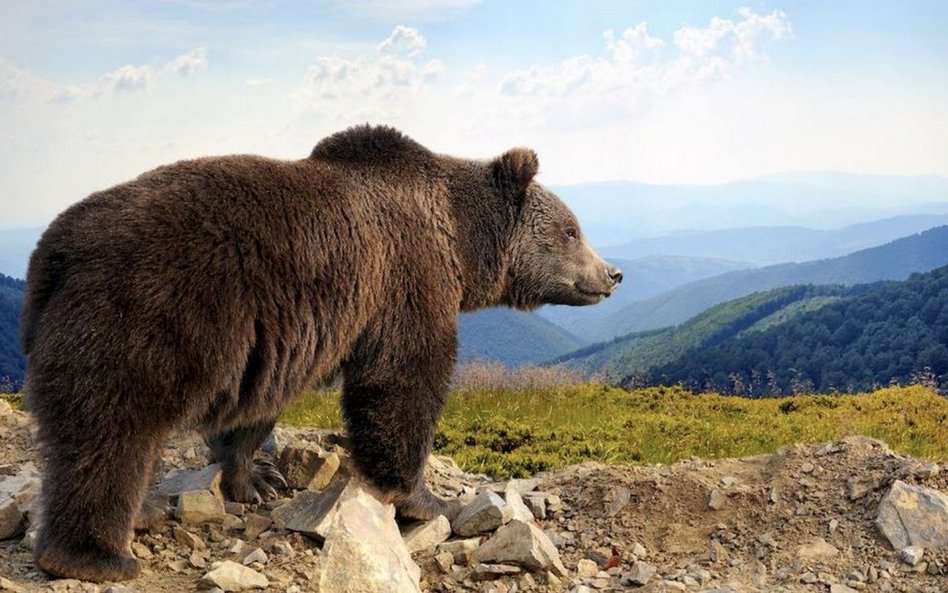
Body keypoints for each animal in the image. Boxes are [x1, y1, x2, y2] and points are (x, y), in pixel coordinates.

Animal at [20, 122, 624, 580]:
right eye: (572, 229)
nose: (613, 274)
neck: (459, 241)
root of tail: (55, 251)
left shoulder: (282, 336)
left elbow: (259, 407)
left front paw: (255, 478)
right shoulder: (405, 279)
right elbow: (403, 382)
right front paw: (427, 499)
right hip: (146, 312)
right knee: (111, 431)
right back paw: (97, 554)